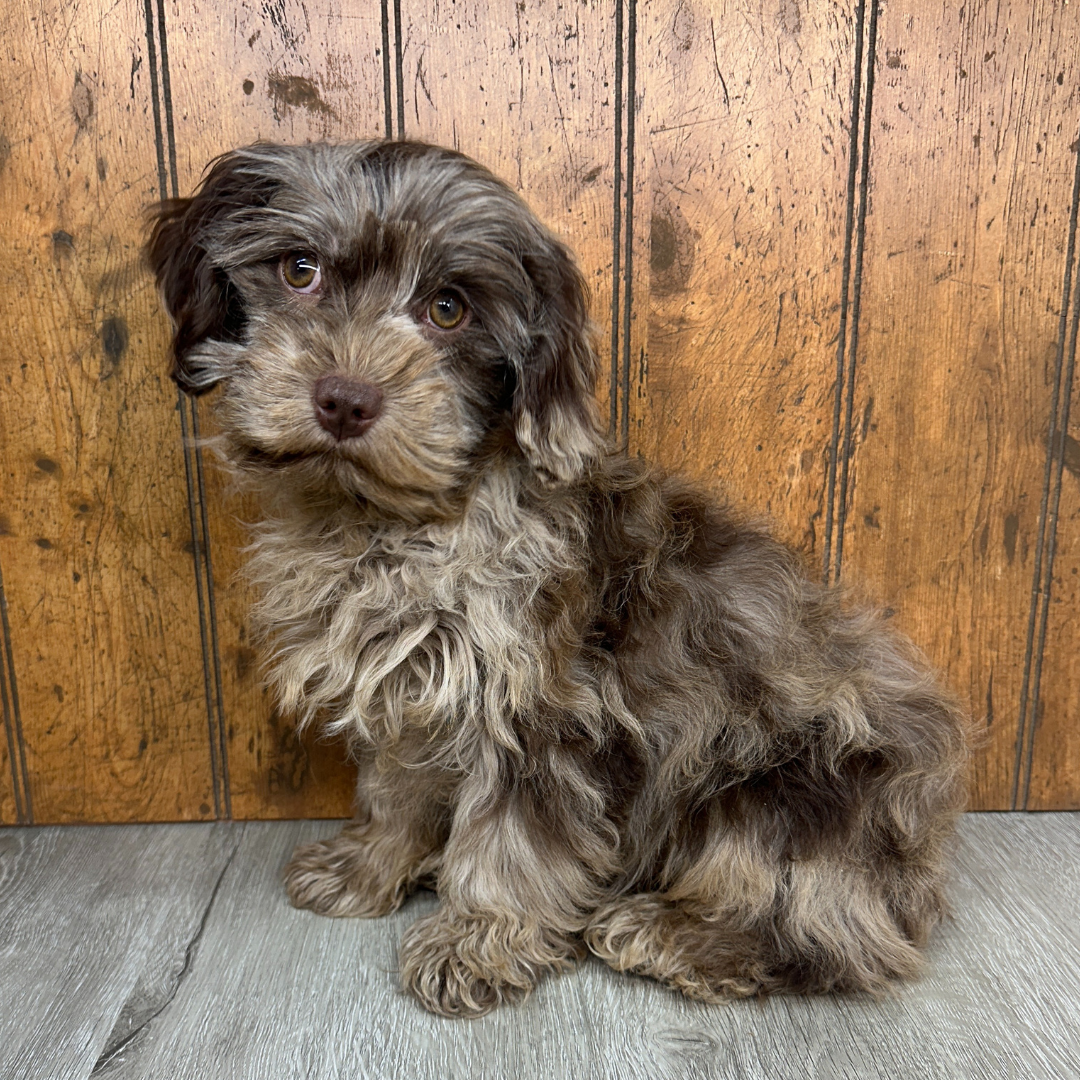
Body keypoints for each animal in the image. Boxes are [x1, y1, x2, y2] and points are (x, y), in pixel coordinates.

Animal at [147, 141, 967, 1010]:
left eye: (449, 310)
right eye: (298, 269)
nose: (345, 398)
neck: (399, 522)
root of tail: (920, 862)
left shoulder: (540, 705)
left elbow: (511, 840)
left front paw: (478, 938)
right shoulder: (416, 679)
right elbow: (398, 787)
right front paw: (370, 865)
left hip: (785, 786)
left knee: (830, 934)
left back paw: (679, 934)